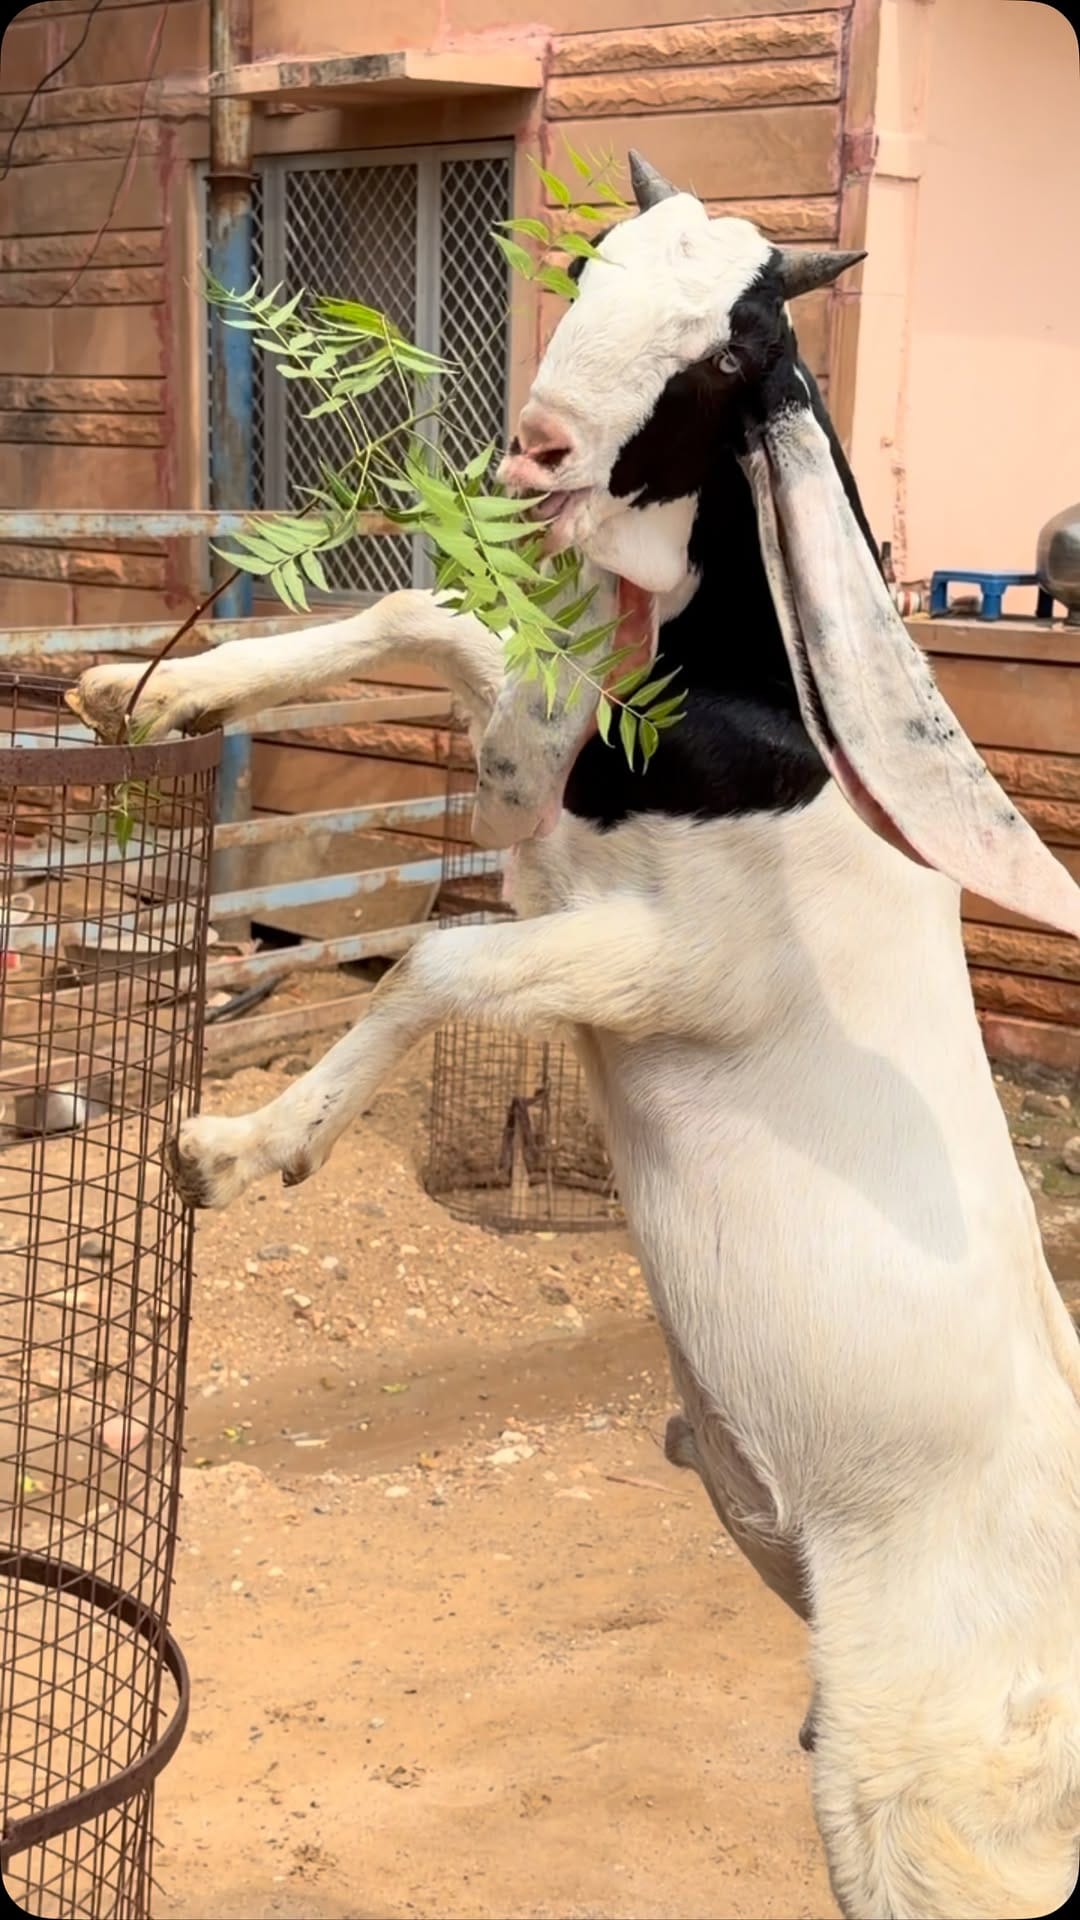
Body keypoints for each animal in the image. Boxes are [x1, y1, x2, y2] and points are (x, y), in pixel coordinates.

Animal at [73, 153, 1080, 1920]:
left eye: (732, 351)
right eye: (597, 262)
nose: (536, 447)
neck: (775, 733)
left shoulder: (671, 962)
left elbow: (440, 960)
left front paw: (239, 1151)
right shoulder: (545, 796)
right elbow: (423, 622)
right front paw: (136, 696)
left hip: (936, 1815)